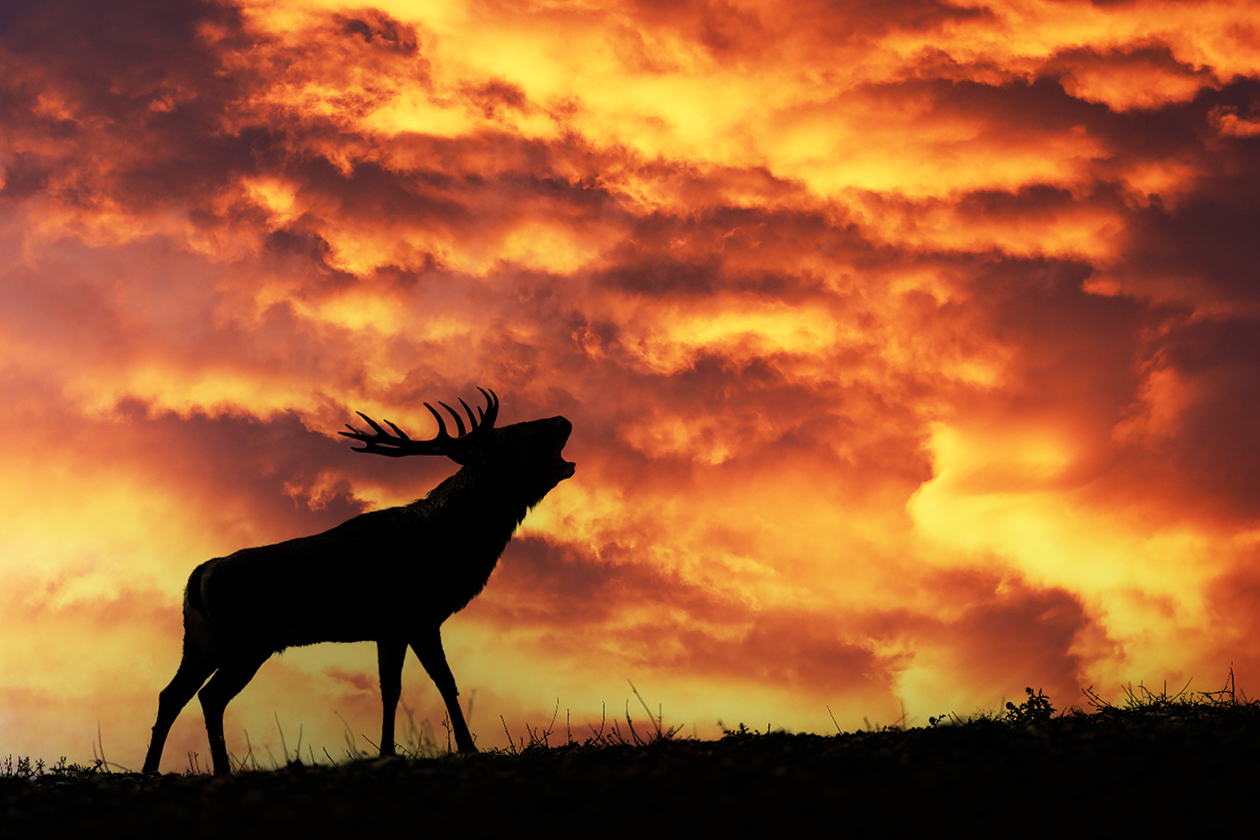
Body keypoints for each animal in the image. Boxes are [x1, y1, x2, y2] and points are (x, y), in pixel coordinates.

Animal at [142, 388, 575, 775]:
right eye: (514, 435)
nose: (562, 420)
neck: (450, 548)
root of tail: (200, 574)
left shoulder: (390, 627)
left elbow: (393, 689)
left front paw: (391, 750)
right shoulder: (417, 615)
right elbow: (441, 682)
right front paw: (467, 748)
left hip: (202, 640)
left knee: (171, 694)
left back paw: (150, 769)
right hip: (249, 639)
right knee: (210, 696)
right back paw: (221, 768)